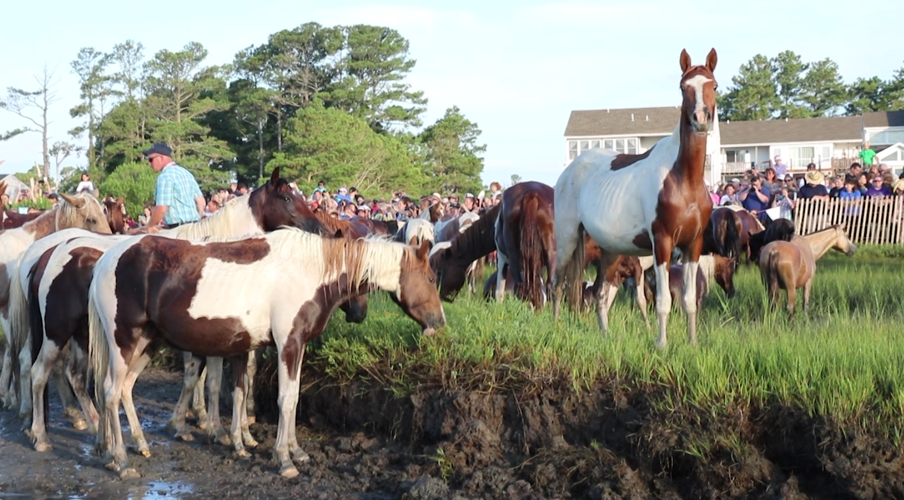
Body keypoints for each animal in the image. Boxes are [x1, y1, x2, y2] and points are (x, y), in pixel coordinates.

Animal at [88, 229, 445, 479]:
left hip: (148, 342)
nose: (439, 322)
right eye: (430, 277)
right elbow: (285, 399)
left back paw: (131, 448)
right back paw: (121, 461)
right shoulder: (288, 343)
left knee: (125, 389)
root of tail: (106, 260)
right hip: (124, 341)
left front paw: (294, 450)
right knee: (109, 392)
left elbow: (290, 397)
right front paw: (284, 459)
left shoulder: (291, 345)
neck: (310, 271)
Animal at [552, 48, 718, 348]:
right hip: (568, 239)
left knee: (600, 293)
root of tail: (568, 171)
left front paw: (692, 343)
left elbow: (689, 300)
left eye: (714, 85)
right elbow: (663, 301)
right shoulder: (662, 243)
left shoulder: (693, 245)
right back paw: (556, 325)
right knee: (557, 283)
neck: (683, 179)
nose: (701, 119)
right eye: (683, 87)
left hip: (609, 251)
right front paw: (662, 344)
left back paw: (605, 334)